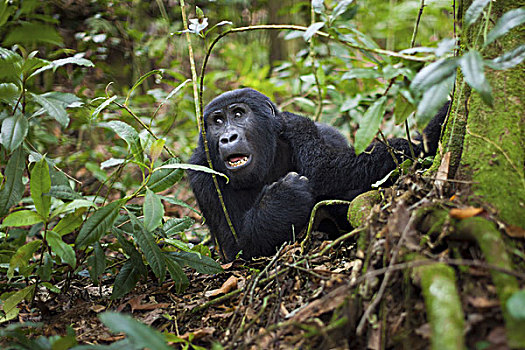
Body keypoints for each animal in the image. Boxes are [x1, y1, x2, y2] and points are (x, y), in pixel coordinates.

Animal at [188, 89, 446, 262]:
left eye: (239, 114)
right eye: (217, 121)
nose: (227, 137)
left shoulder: (327, 135)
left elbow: (342, 174)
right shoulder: (201, 173)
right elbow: (236, 250)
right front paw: (284, 198)